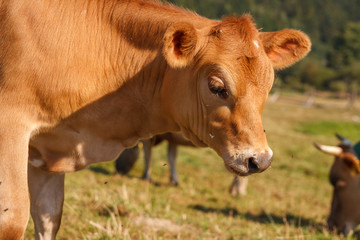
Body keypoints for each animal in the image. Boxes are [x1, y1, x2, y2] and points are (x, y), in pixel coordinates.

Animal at [115, 132, 248, 196]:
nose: (118, 169)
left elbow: (148, 154)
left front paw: (146, 176)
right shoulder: (172, 138)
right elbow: (171, 156)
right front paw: (173, 180)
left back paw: (237, 190)